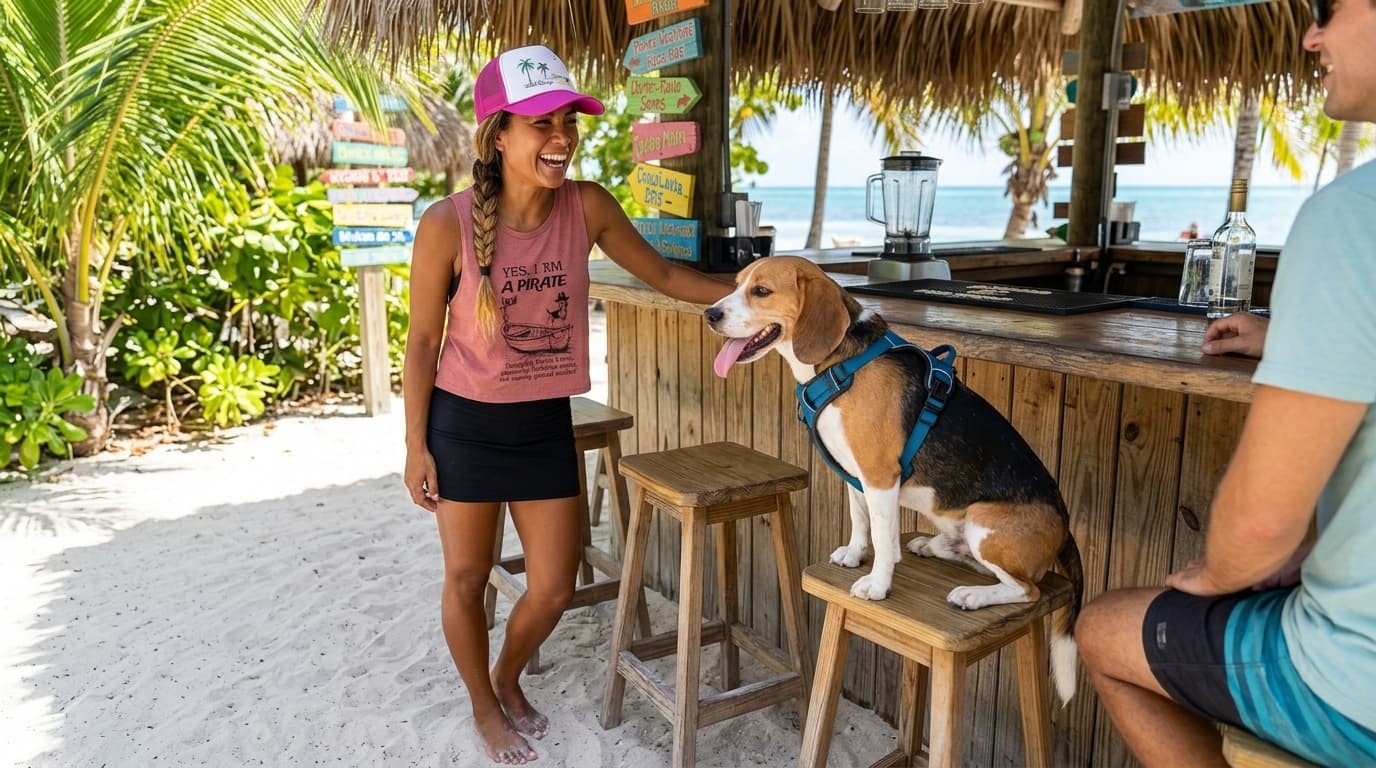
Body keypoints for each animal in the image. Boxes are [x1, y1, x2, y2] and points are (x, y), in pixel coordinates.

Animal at [704, 256, 1084, 704]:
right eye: (736, 284)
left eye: (761, 291)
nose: (710, 314)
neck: (838, 362)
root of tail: (1065, 525)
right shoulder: (854, 472)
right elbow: (860, 519)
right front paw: (854, 555)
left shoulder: (880, 475)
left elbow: (885, 539)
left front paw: (877, 584)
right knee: (977, 561)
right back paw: (932, 546)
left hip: (985, 522)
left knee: (1026, 589)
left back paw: (973, 595)